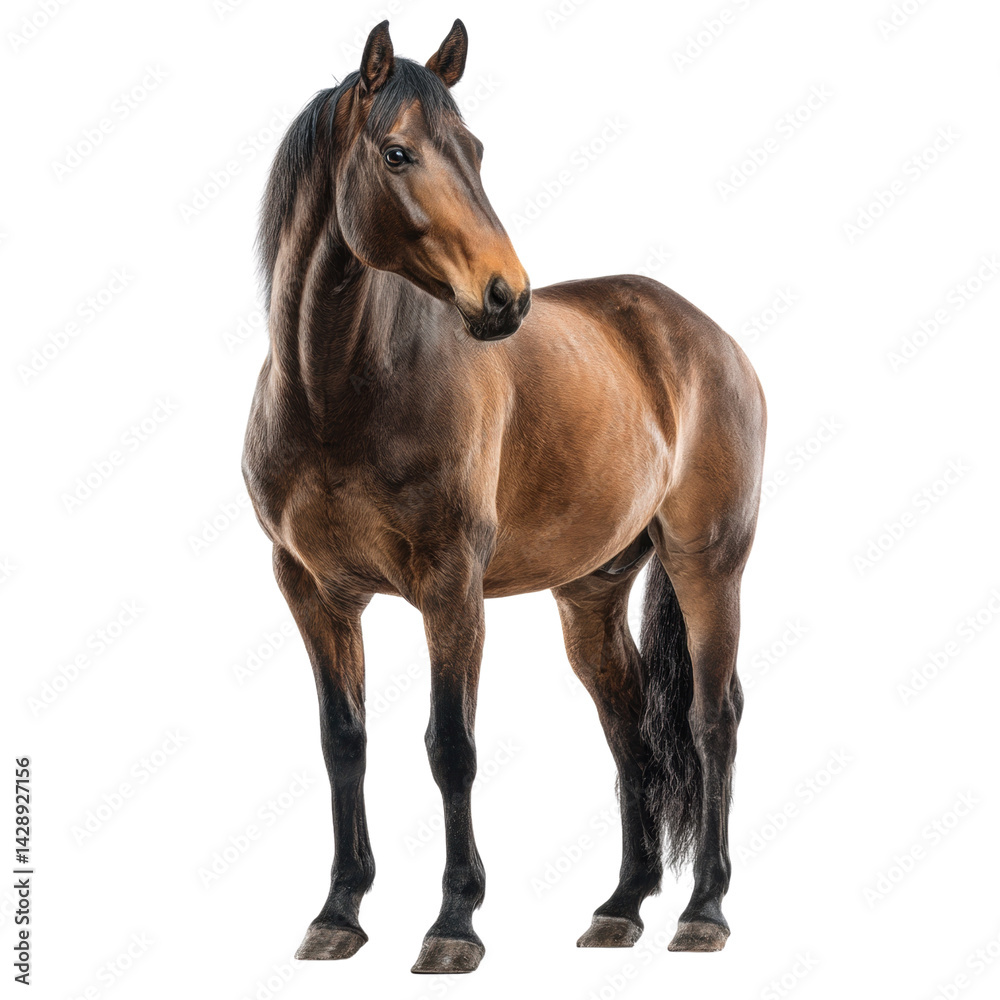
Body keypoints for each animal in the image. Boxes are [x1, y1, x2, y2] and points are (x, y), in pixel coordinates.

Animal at [242, 18, 766, 974]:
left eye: (475, 150)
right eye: (399, 152)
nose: (505, 296)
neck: (340, 395)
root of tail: (702, 335)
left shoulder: (452, 586)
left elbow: (451, 746)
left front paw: (454, 923)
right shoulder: (312, 591)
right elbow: (344, 743)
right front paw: (339, 913)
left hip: (709, 566)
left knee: (713, 719)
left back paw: (703, 910)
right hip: (591, 591)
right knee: (630, 723)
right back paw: (621, 906)